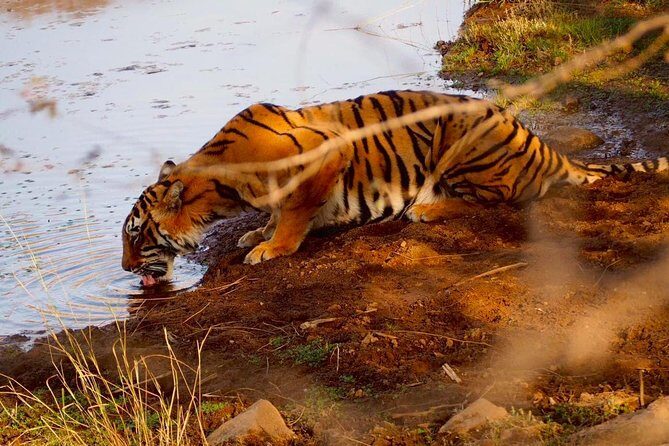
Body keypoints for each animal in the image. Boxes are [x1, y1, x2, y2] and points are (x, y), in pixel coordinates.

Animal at [121, 90, 668, 286]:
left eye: (136, 235)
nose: (125, 269)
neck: (219, 186)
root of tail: (541, 144)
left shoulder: (326, 156)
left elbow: (294, 212)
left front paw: (272, 248)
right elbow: (278, 212)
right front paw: (258, 235)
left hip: (464, 147)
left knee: (499, 201)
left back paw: (427, 209)